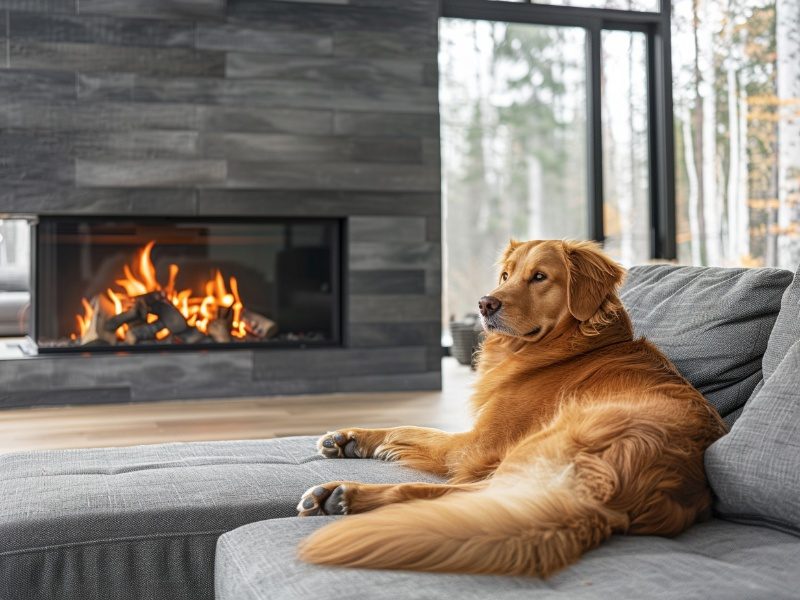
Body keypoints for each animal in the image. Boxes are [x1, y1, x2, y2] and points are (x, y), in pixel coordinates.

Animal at [296, 239, 728, 576]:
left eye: (539, 277)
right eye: (506, 275)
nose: (484, 304)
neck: (568, 347)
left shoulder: (477, 446)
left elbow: (417, 432)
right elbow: (409, 428)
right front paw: (347, 437)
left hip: (531, 450)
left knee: (446, 495)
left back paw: (342, 494)